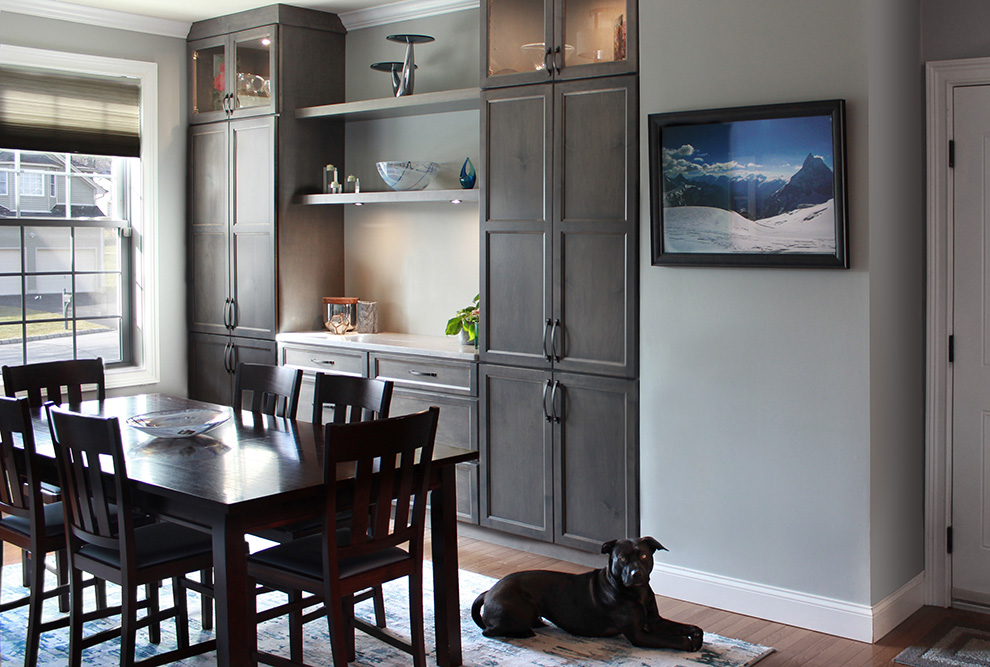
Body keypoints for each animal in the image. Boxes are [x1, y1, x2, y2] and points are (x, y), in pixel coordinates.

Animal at [472, 536, 704, 652]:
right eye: (621, 558)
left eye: (644, 555)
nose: (636, 573)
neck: (636, 593)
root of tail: (489, 591)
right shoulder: (639, 635)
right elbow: (674, 640)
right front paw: (689, 643)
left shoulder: (655, 620)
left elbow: (692, 628)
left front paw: (696, 635)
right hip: (518, 610)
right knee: (489, 631)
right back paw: (524, 633)